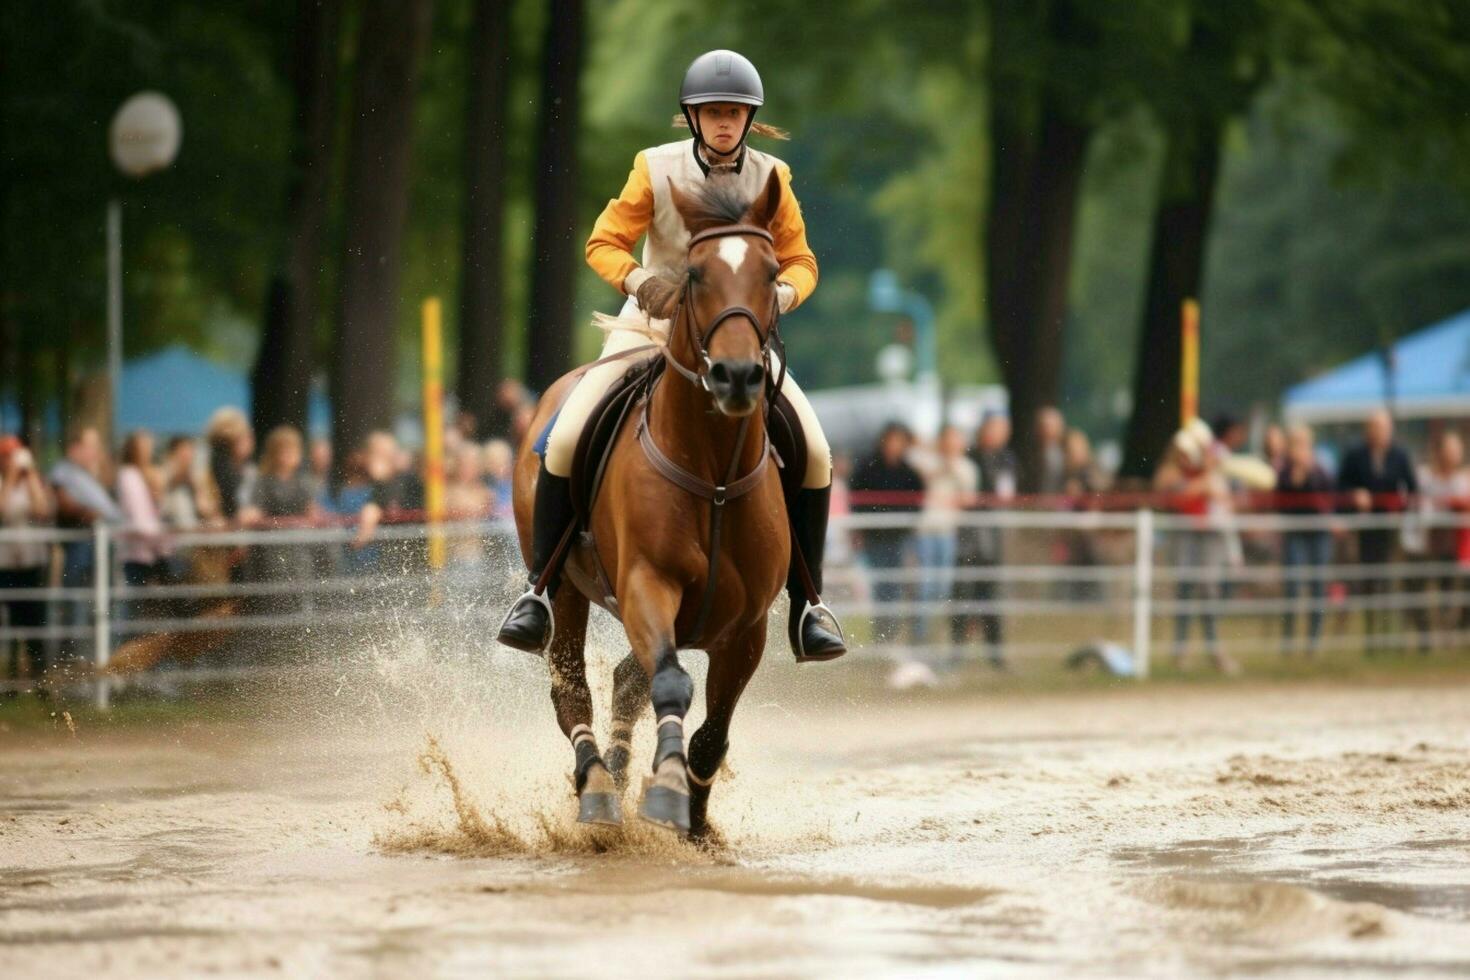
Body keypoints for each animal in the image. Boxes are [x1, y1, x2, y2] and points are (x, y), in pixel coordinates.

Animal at [517, 166, 793, 834]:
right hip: (568, 588)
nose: (737, 376)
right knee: (573, 688)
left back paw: (616, 776)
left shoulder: (747, 628)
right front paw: (666, 790)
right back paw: (596, 786)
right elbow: (672, 684)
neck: (714, 476)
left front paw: (694, 813)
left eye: (772, 272)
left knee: (625, 682)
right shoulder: (648, 584)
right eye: (695, 275)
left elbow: (712, 731)